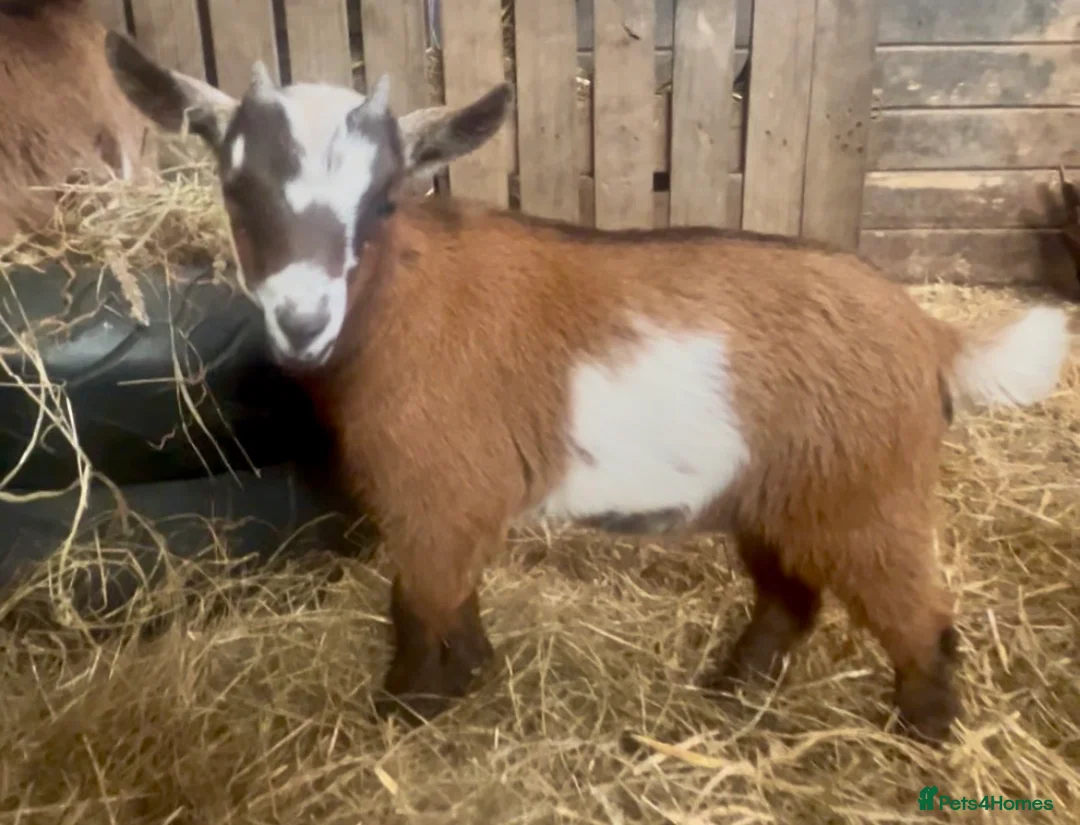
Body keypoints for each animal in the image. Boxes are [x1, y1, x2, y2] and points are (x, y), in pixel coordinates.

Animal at [104, 30, 1073, 746]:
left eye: (382, 200)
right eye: (237, 190)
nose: (302, 321)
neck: (401, 301)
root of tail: (929, 331)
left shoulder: (436, 494)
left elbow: (414, 607)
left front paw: (403, 716)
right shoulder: (458, 505)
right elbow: (453, 601)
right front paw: (473, 679)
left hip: (868, 495)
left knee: (921, 619)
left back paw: (922, 738)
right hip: (776, 495)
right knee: (790, 599)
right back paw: (726, 693)